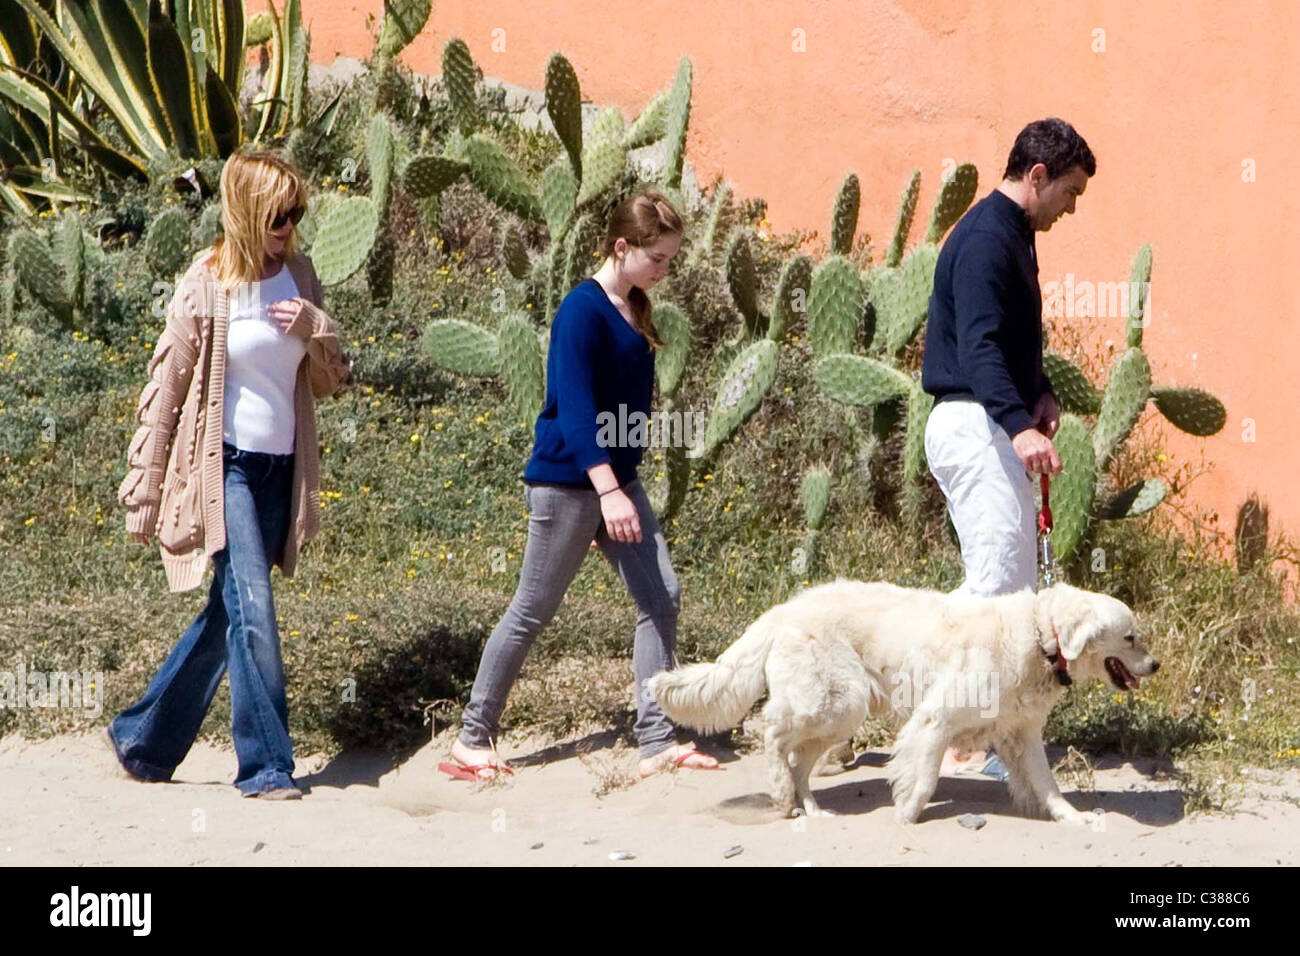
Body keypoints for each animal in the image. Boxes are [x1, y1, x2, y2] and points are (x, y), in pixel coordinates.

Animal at [647, 580, 1159, 827]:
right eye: (1131, 637)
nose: (1155, 665)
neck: (1038, 636)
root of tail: (780, 611)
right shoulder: (934, 720)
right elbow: (926, 776)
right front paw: (908, 813)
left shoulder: (1023, 736)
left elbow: (1048, 787)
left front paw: (1071, 818)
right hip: (837, 702)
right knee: (772, 733)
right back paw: (778, 790)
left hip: (840, 714)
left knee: (799, 762)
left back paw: (808, 807)